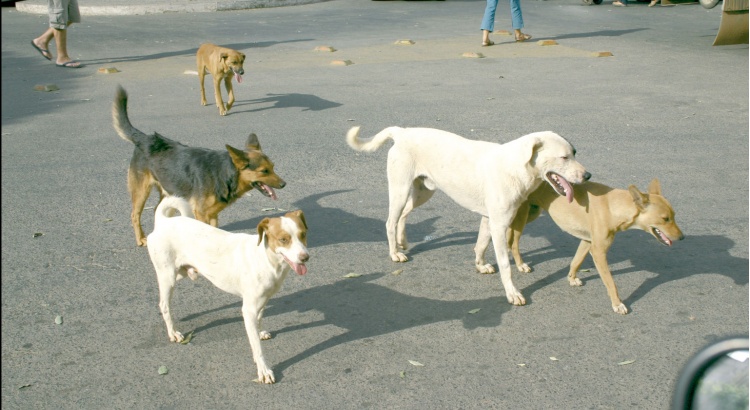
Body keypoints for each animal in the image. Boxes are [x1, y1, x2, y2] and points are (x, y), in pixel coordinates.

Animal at [113, 85, 286, 247]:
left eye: (273, 167)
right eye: (264, 171)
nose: (284, 184)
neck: (223, 173)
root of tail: (145, 139)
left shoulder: (213, 214)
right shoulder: (201, 214)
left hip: (169, 192)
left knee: (158, 211)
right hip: (141, 192)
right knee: (135, 215)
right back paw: (141, 239)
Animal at [145, 197, 310, 382]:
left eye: (303, 234)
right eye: (283, 239)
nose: (305, 257)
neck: (266, 259)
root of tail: (163, 222)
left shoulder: (262, 301)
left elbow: (258, 323)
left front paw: (259, 332)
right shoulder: (249, 309)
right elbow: (257, 348)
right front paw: (263, 370)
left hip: (182, 272)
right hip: (168, 276)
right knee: (164, 305)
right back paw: (172, 333)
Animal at [348, 126, 592, 306]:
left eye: (575, 153)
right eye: (563, 157)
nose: (588, 175)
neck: (517, 167)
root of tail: (402, 131)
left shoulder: (489, 220)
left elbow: (481, 245)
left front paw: (480, 265)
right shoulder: (499, 225)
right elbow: (505, 264)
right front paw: (512, 293)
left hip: (423, 193)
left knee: (403, 215)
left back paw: (402, 242)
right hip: (399, 190)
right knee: (390, 221)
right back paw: (394, 252)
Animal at [512, 178, 688, 316]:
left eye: (674, 216)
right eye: (665, 219)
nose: (682, 237)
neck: (612, 207)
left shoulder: (587, 242)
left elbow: (576, 261)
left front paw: (572, 278)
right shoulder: (599, 252)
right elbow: (611, 282)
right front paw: (617, 304)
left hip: (532, 213)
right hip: (522, 217)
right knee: (513, 243)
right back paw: (519, 264)